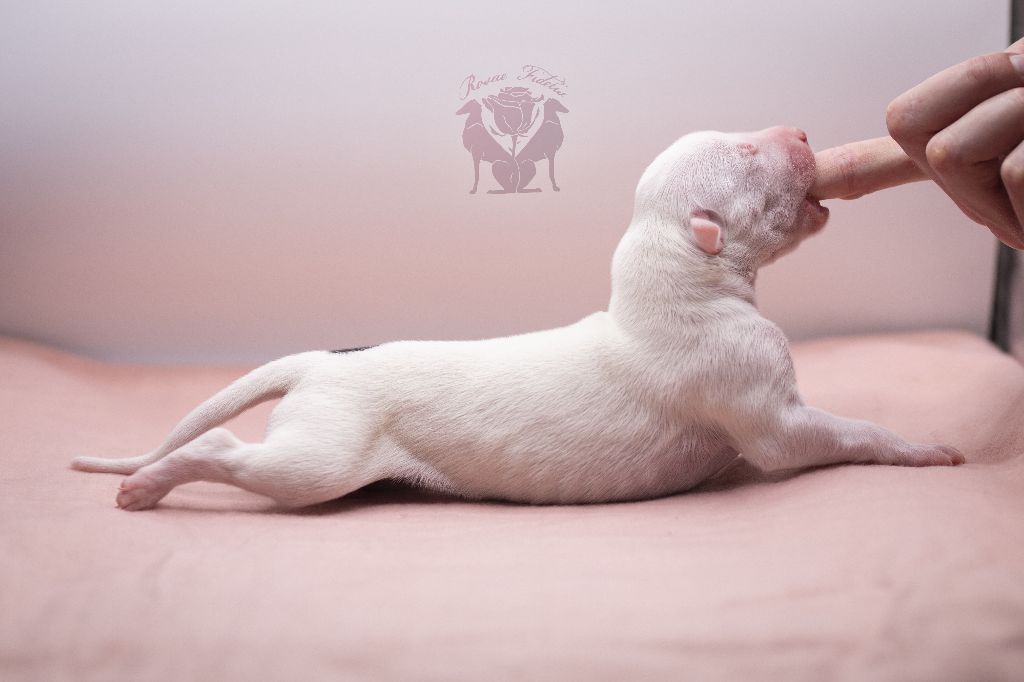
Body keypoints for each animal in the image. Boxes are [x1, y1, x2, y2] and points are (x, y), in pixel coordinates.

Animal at [72, 126, 964, 511]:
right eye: (747, 154)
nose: (803, 130)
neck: (673, 277)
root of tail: (322, 361)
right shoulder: (768, 408)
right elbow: (830, 433)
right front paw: (921, 448)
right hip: (320, 453)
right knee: (230, 452)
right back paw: (150, 482)